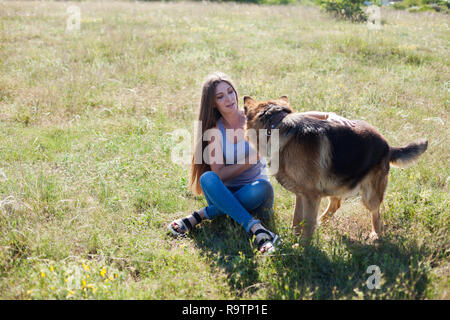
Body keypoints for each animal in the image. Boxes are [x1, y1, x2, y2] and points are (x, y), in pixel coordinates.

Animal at [244, 96, 428, 241]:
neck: (276, 126)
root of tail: (387, 146)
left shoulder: (311, 196)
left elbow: (307, 223)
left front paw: (302, 247)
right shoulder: (301, 194)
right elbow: (297, 219)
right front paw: (293, 239)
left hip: (369, 196)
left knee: (376, 213)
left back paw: (376, 234)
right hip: (335, 184)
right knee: (336, 204)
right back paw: (322, 222)